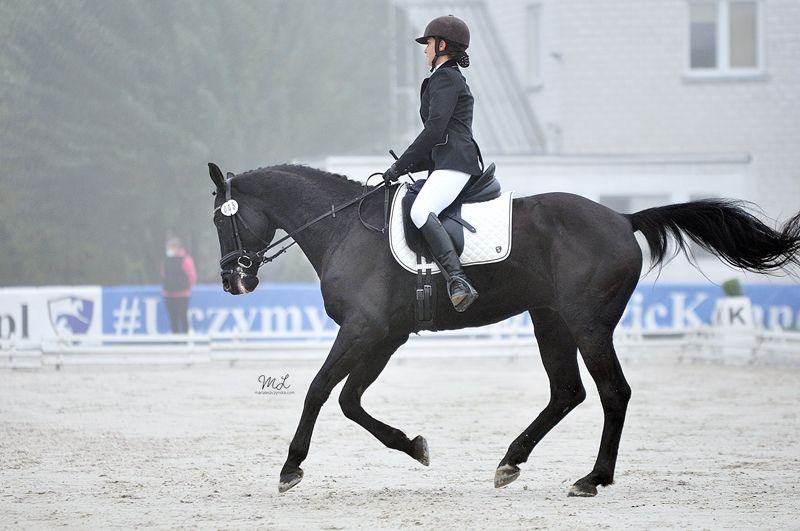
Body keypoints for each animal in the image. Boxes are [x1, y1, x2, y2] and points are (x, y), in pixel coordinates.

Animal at [207, 162, 800, 496]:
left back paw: (593, 479)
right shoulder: (383, 336)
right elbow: (350, 401)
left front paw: (290, 468)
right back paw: (511, 462)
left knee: (613, 392)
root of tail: (622, 219)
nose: (234, 282)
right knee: (567, 392)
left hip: (588, 324)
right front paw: (415, 447)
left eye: (219, 218)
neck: (343, 229)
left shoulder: (362, 329)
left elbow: (317, 390)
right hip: (551, 320)